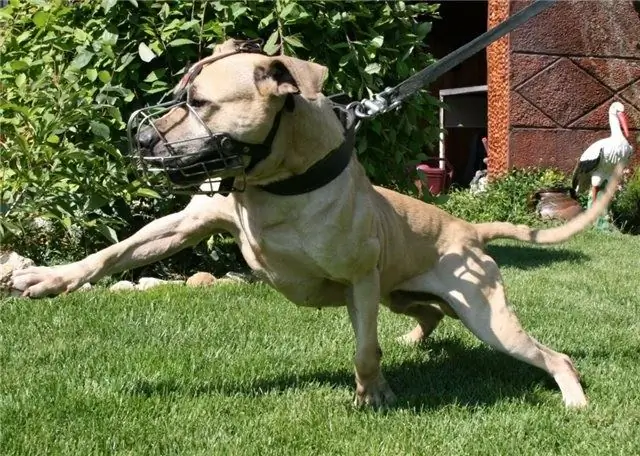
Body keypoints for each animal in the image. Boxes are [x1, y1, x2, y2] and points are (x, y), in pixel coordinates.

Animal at [10, 40, 624, 410]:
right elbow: (110, 255)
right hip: (406, 294)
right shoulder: (187, 224)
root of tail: (466, 229)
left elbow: (365, 350)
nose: (139, 139)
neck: (274, 183)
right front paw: (46, 278)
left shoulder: (359, 281)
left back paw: (573, 397)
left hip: (486, 319)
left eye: (201, 103)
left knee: (551, 354)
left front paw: (373, 394)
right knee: (426, 312)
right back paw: (415, 338)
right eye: (178, 96)